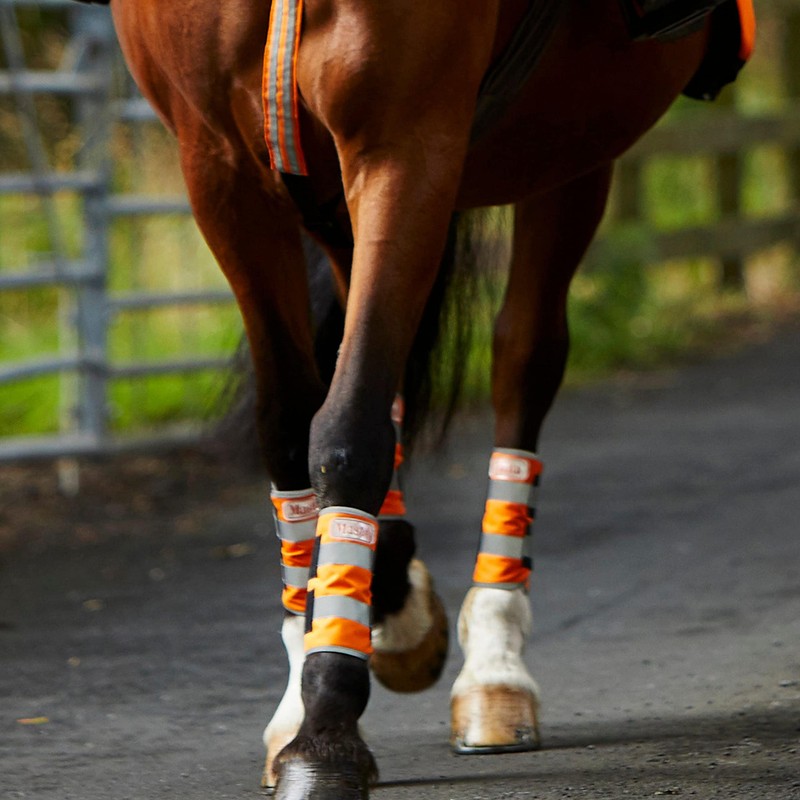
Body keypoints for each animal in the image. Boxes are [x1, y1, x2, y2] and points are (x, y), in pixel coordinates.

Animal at [78, 0, 754, 797]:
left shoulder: (402, 142)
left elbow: (347, 430)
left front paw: (327, 727)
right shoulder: (222, 169)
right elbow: (290, 425)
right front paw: (310, 672)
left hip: (570, 144)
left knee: (522, 358)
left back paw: (494, 664)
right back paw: (395, 598)